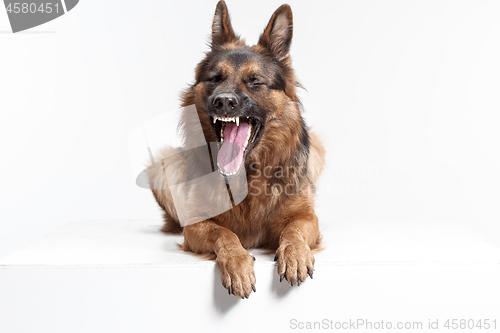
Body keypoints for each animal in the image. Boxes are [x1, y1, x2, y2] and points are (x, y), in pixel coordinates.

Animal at [146, 0, 326, 298]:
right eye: (215, 78)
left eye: (255, 81)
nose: (224, 101)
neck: (248, 175)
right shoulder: (195, 225)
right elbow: (225, 234)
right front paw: (237, 262)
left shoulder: (307, 217)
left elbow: (294, 230)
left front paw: (295, 255)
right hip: (161, 165)